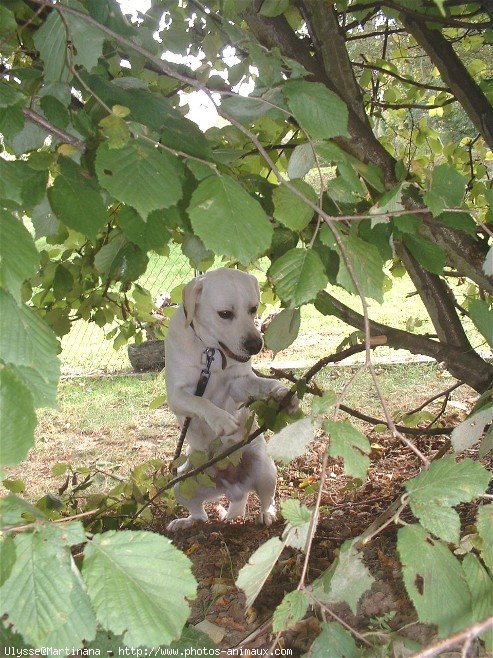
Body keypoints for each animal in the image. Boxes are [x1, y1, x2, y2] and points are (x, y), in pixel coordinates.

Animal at [164, 266, 296, 528]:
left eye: (253, 309)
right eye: (225, 314)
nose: (256, 345)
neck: (211, 354)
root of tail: (234, 488)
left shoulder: (238, 383)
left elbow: (262, 383)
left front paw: (281, 393)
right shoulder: (176, 394)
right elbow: (200, 400)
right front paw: (222, 420)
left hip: (265, 469)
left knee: (267, 499)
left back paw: (266, 514)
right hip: (181, 481)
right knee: (200, 514)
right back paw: (185, 522)